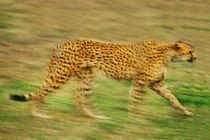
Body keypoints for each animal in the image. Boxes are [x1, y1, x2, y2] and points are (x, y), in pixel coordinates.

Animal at [9, 40, 197, 118]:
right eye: (190, 51)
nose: (195, 58)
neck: (169, 54)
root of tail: (61, 43)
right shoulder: (141, 82)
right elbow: (136, 100)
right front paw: (135, 118)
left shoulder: (156, 84)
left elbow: (173, 98)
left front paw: (185, 111)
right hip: (62, 75)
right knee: (41, 93)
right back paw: (38, 114)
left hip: (86, 77)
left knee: (79, 99)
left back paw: (97, 116)